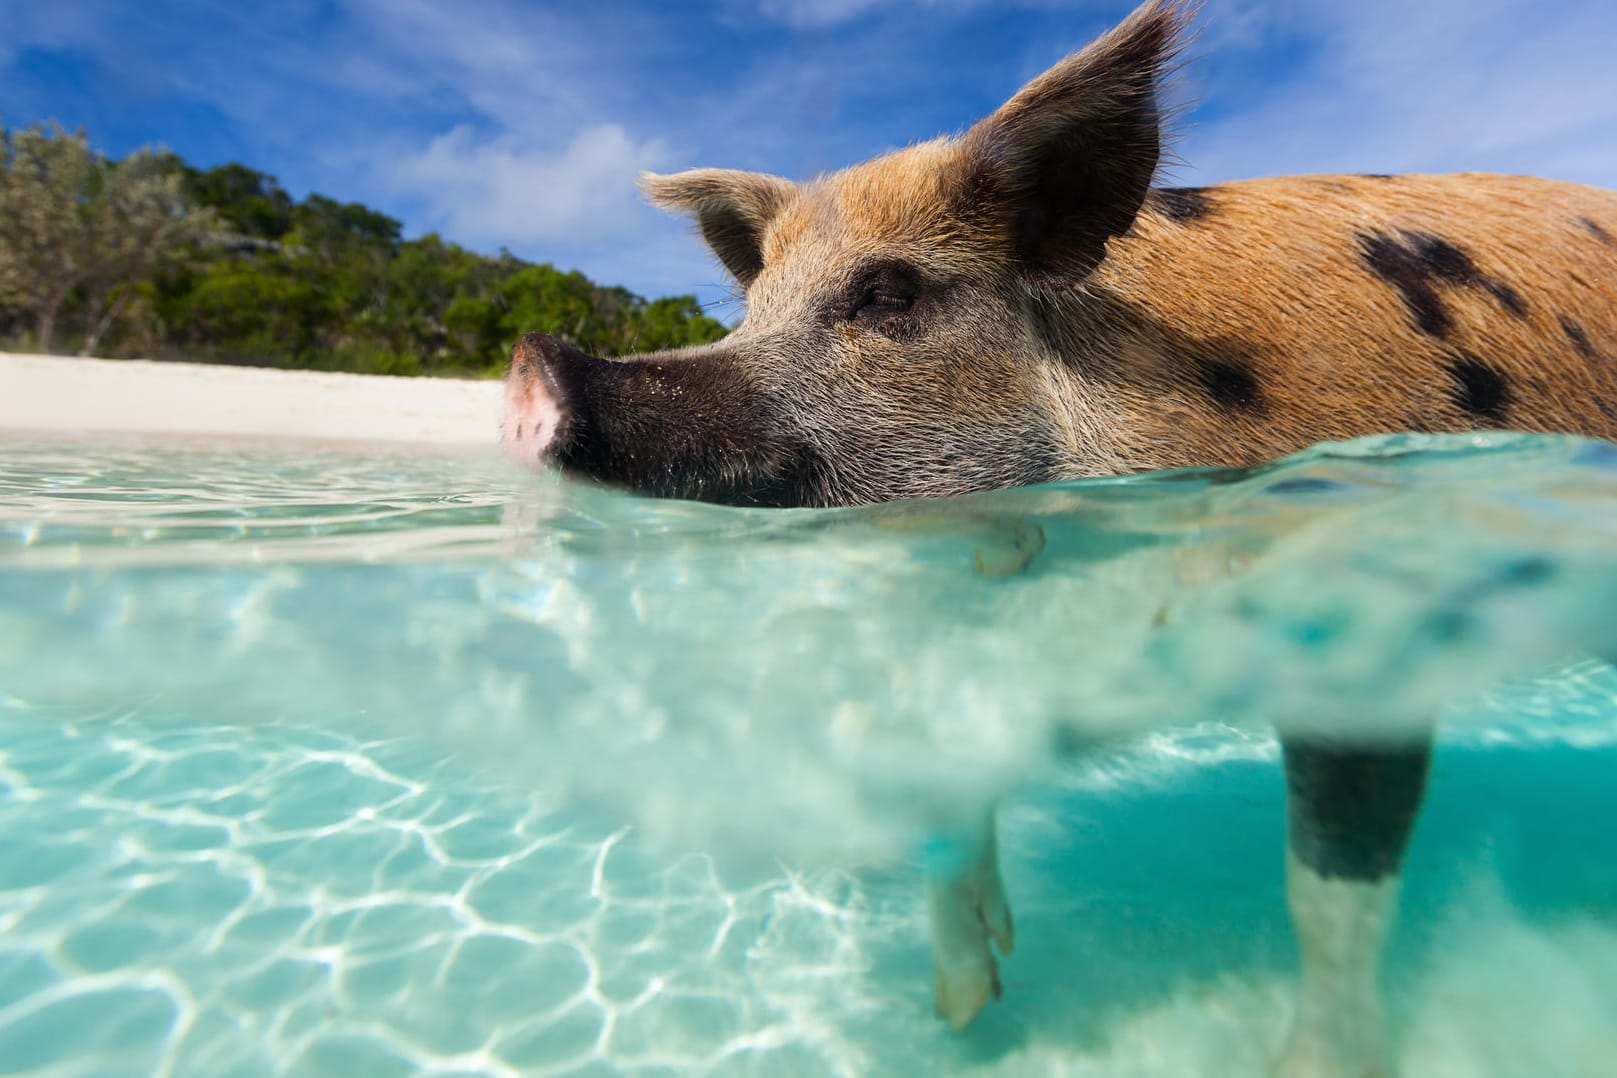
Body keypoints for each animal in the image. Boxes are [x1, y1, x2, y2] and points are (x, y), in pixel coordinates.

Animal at [501, 4, 1617, 1073]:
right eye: (751, 307)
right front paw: (963, 1011)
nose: (536, 362)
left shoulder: (1366, 628)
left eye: (890, 293)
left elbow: (1332, 883)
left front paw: (1310, 1065)